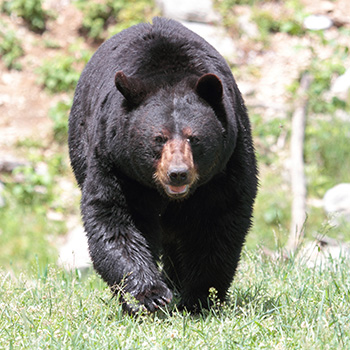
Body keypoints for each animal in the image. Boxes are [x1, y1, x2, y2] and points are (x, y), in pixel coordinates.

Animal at [69, 16, 260, 314]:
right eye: (158, 138)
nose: (178, 174)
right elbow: (116, 219)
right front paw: (150, 295)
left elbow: (217, 221)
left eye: (194, 137)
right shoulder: (117, 164)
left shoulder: (228, 163)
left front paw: (200, 297)